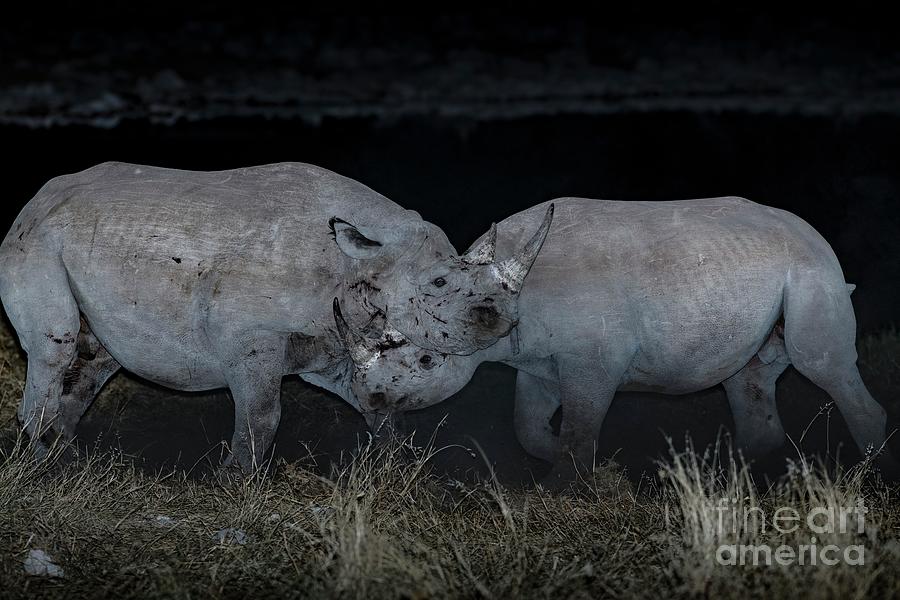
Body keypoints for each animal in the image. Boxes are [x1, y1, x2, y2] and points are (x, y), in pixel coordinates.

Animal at [0, 162, 552, 472]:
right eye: (438, 285)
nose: (499, 318)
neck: (360, 259)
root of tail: (38, 198)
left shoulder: (332, 342)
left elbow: (371, 403)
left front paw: (397, 467)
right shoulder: (252, 338)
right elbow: (262, 414)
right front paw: (235, 480)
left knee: (96, 361)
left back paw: (65, 459)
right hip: (36, 241)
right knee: (56, 347)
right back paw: (48, 465)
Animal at [334, 197, 896, 482]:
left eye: (427, 361)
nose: (370, 398)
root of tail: (811, 233)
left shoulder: (594, 359)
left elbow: (580, 426)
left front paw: (570, 487)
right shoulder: (538, 360)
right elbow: (528, 426)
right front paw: (586, 468)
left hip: (813, 269)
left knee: (820, 364)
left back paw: (870, 477)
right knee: (748, 377)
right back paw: (735, 478)